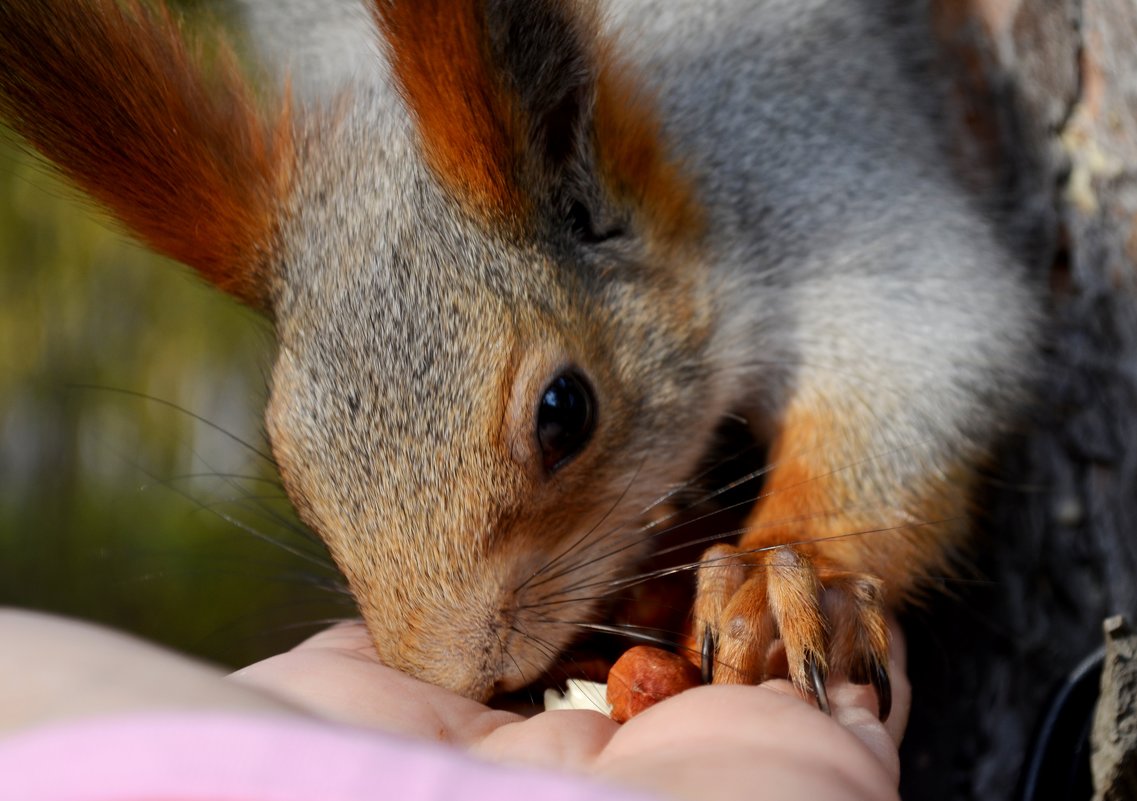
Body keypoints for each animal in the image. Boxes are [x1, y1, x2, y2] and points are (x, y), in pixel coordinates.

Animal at [0, 0, 1036, 719]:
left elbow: (930, 352)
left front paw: (782, 577)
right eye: (286, 462)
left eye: (564, 412)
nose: (463, 677)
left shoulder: (825, 178)